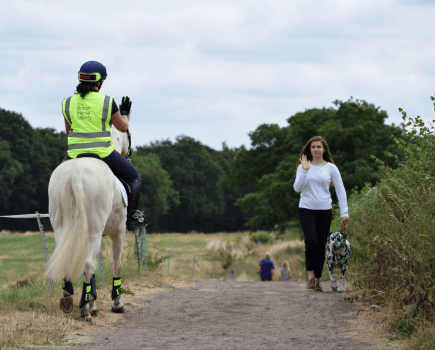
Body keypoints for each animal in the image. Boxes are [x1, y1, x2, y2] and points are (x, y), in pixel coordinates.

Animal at [45, 119, 133, 322]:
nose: (129, 155)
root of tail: (75, 173)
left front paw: (92, 304)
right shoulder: (118, 232)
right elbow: (116, 264)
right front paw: (116, 304)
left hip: (62, 229)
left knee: (71, 260)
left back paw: (68, 299)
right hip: (94, 230)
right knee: (88, 265)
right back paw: (84, 310)